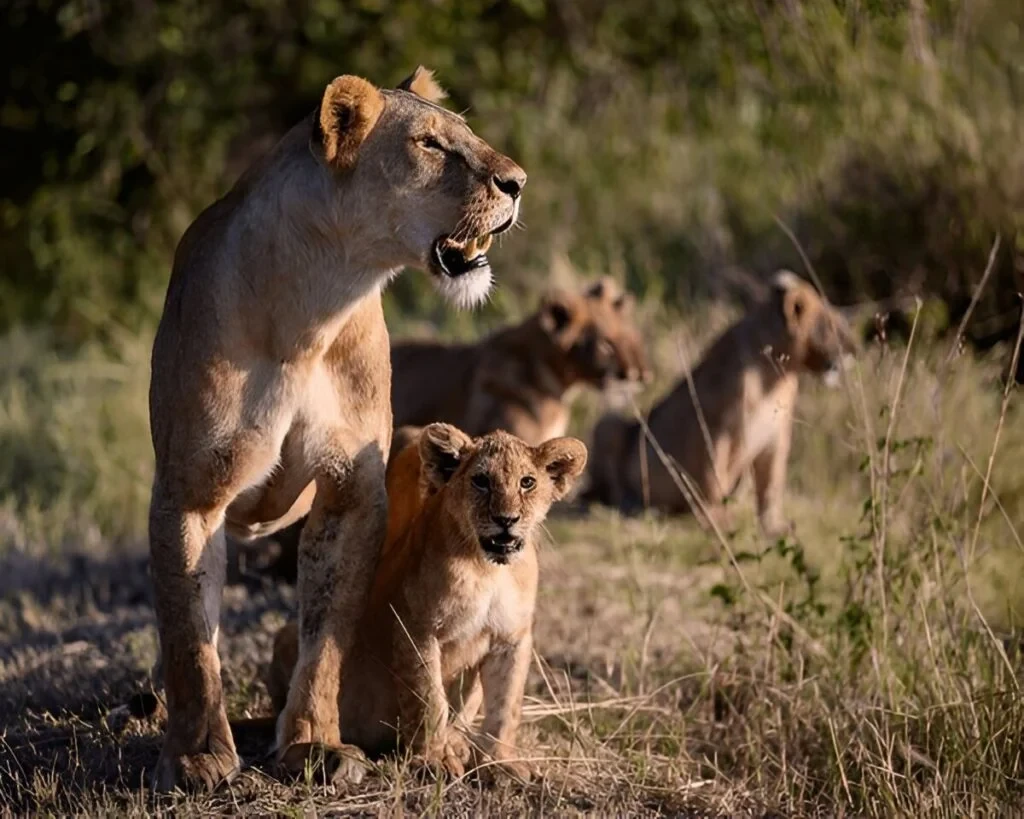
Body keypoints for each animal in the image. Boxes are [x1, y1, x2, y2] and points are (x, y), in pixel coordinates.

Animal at [146, 66, 526, 791]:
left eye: (466, 132)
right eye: (431, 144)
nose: (519, 182)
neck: (311, 310)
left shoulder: (354, 488)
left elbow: (327, 635)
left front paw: (314, 744)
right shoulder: (191, 491)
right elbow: (189, 635)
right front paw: (199, 754)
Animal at [255, 423, 587, 781]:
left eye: (527, 482)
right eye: (481, 480)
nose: (506, 519)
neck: (488, 570)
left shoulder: (512, 638)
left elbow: (505, 705)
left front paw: (499, 763)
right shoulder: (416, 628)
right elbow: (427, 700)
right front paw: (433, 761)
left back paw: (458, 743)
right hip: (289, 635)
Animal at [583, 271, 858, 535]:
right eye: (832, 325)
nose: (854, 350)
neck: (776, 378)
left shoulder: (776, 435)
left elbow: (771, 484)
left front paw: (774, 527)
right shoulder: (713, 427)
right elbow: (712, 478)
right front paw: (717, 519)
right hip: (608, 424)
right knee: (607, 489)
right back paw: (635, 505)